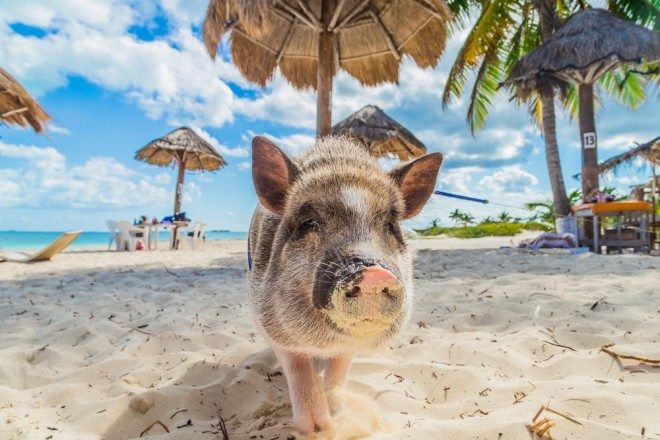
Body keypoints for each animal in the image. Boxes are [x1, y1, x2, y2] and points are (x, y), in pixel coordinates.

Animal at [248, 136, 444, 434]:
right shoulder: (267, 318)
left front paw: (337, 417)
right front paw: (314, 429)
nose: (374, 273)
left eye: (390, 225)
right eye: (308, 222)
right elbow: (298, 366)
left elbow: (338, 372)